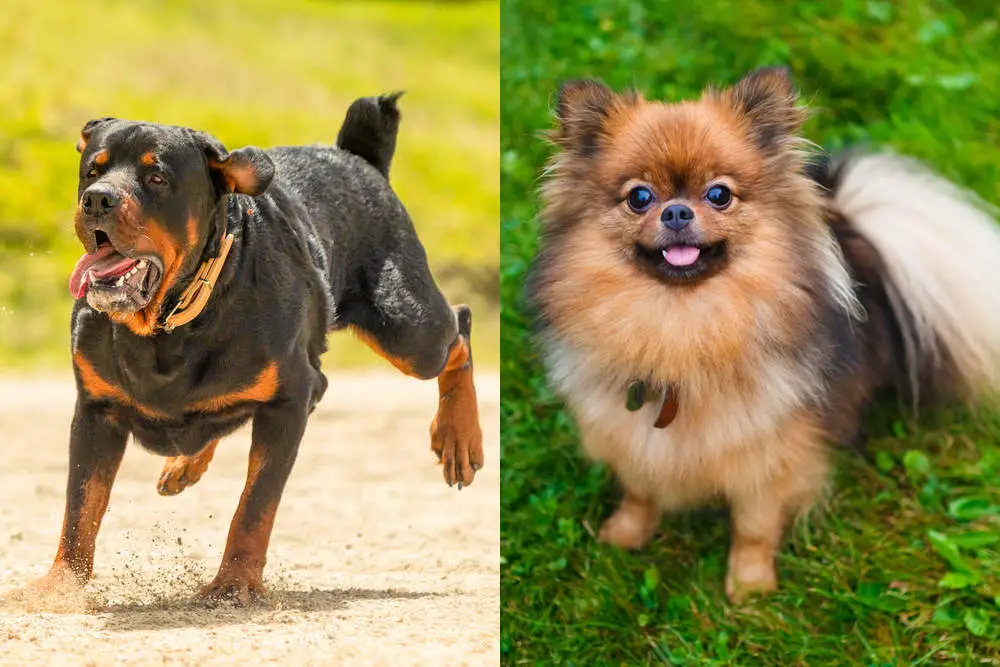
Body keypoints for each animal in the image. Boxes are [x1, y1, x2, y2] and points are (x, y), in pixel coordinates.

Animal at [536, 69, 1000, 604]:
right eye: (639, 197)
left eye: (719, 194)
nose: (676, 212)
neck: (683, 327)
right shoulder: (632, 435)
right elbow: (639, 492)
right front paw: (625, 534)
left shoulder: (770, 455)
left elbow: (754, 526)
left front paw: (750, 586)